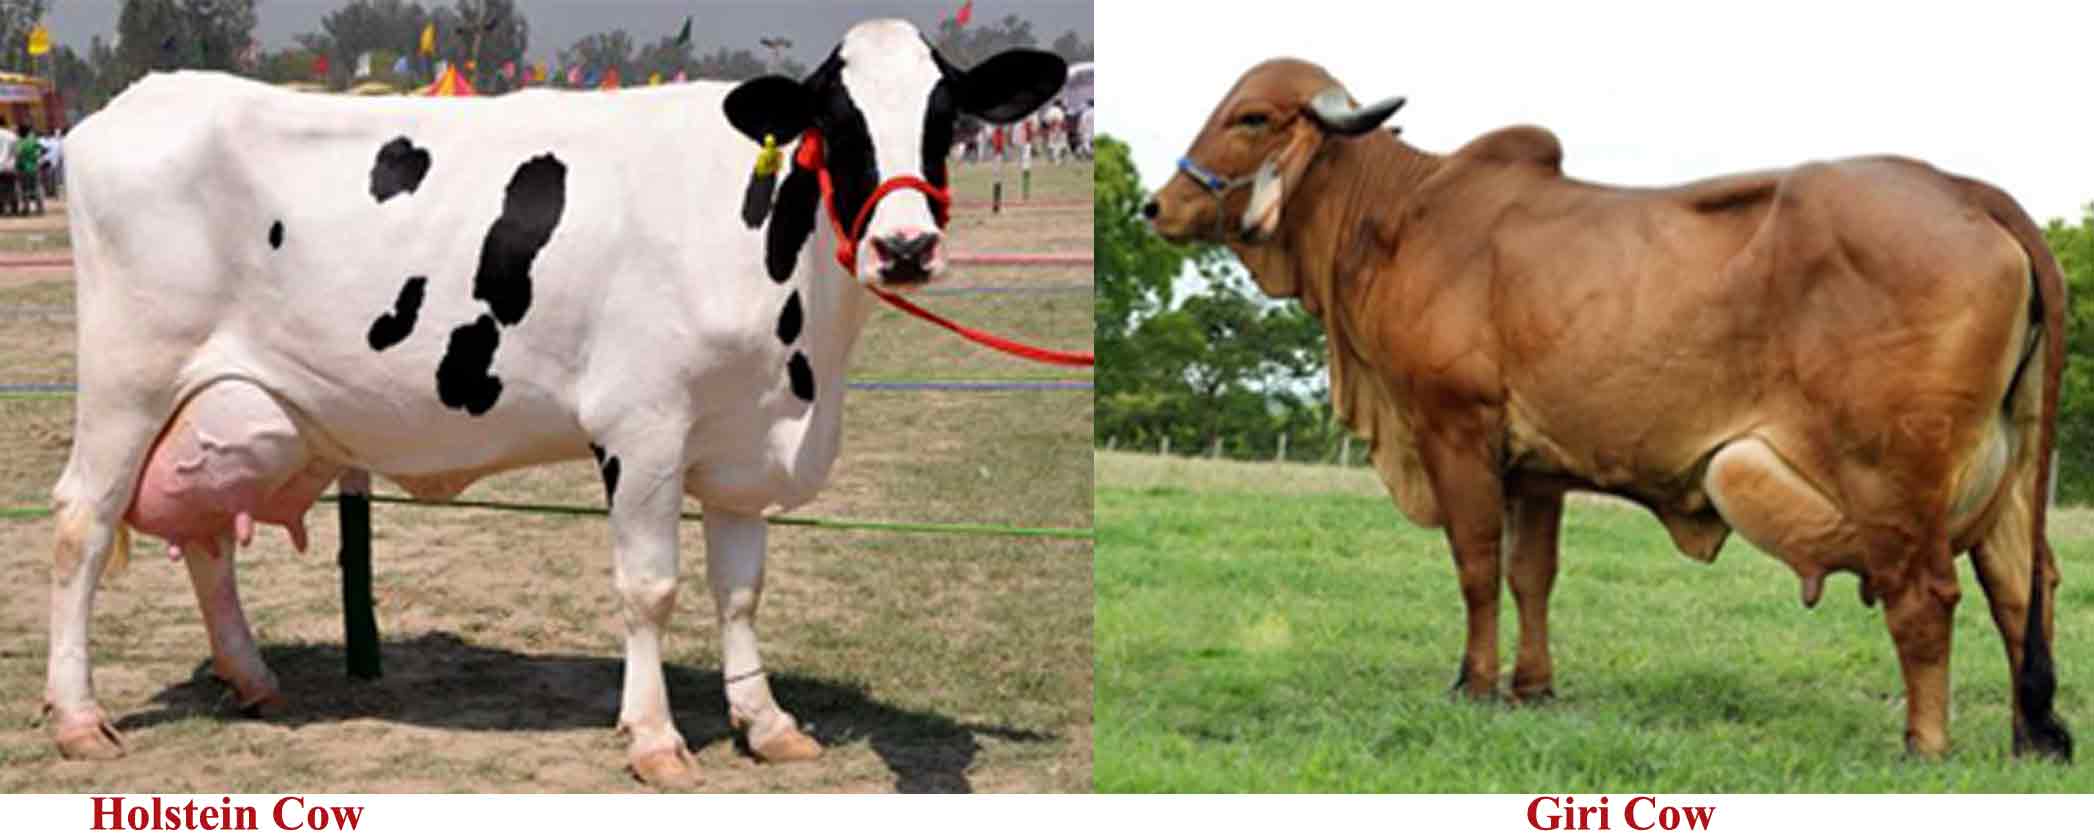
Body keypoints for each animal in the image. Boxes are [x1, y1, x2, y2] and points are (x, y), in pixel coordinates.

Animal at [44, 19, 1065, 786]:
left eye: (945, 115)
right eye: (836, 120)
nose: (906, 247)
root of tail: (132, 104)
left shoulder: (742, 437)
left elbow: (740, 589)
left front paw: (766, 721)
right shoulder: (643, 425)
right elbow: (650, 589)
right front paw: (655, 738)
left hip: (228, 409)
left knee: (206, 539)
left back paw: (252, 679)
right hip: (130, 380)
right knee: (82, 523)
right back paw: (78, 717)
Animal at [1143, 58, 2072, 761]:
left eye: (1252, 117)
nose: (1157, 205)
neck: (1397, 215)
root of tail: (1970, 193)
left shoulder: (1455, 429)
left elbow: (1476, 565)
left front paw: (1473, 684)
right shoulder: (1536, 467)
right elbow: (1531, 574)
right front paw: (1532, 687)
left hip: (1893, 478)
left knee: (1927, 597)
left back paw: (1924, 744)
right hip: (2009, 480)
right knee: (2021, 590)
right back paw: (2032, 738)